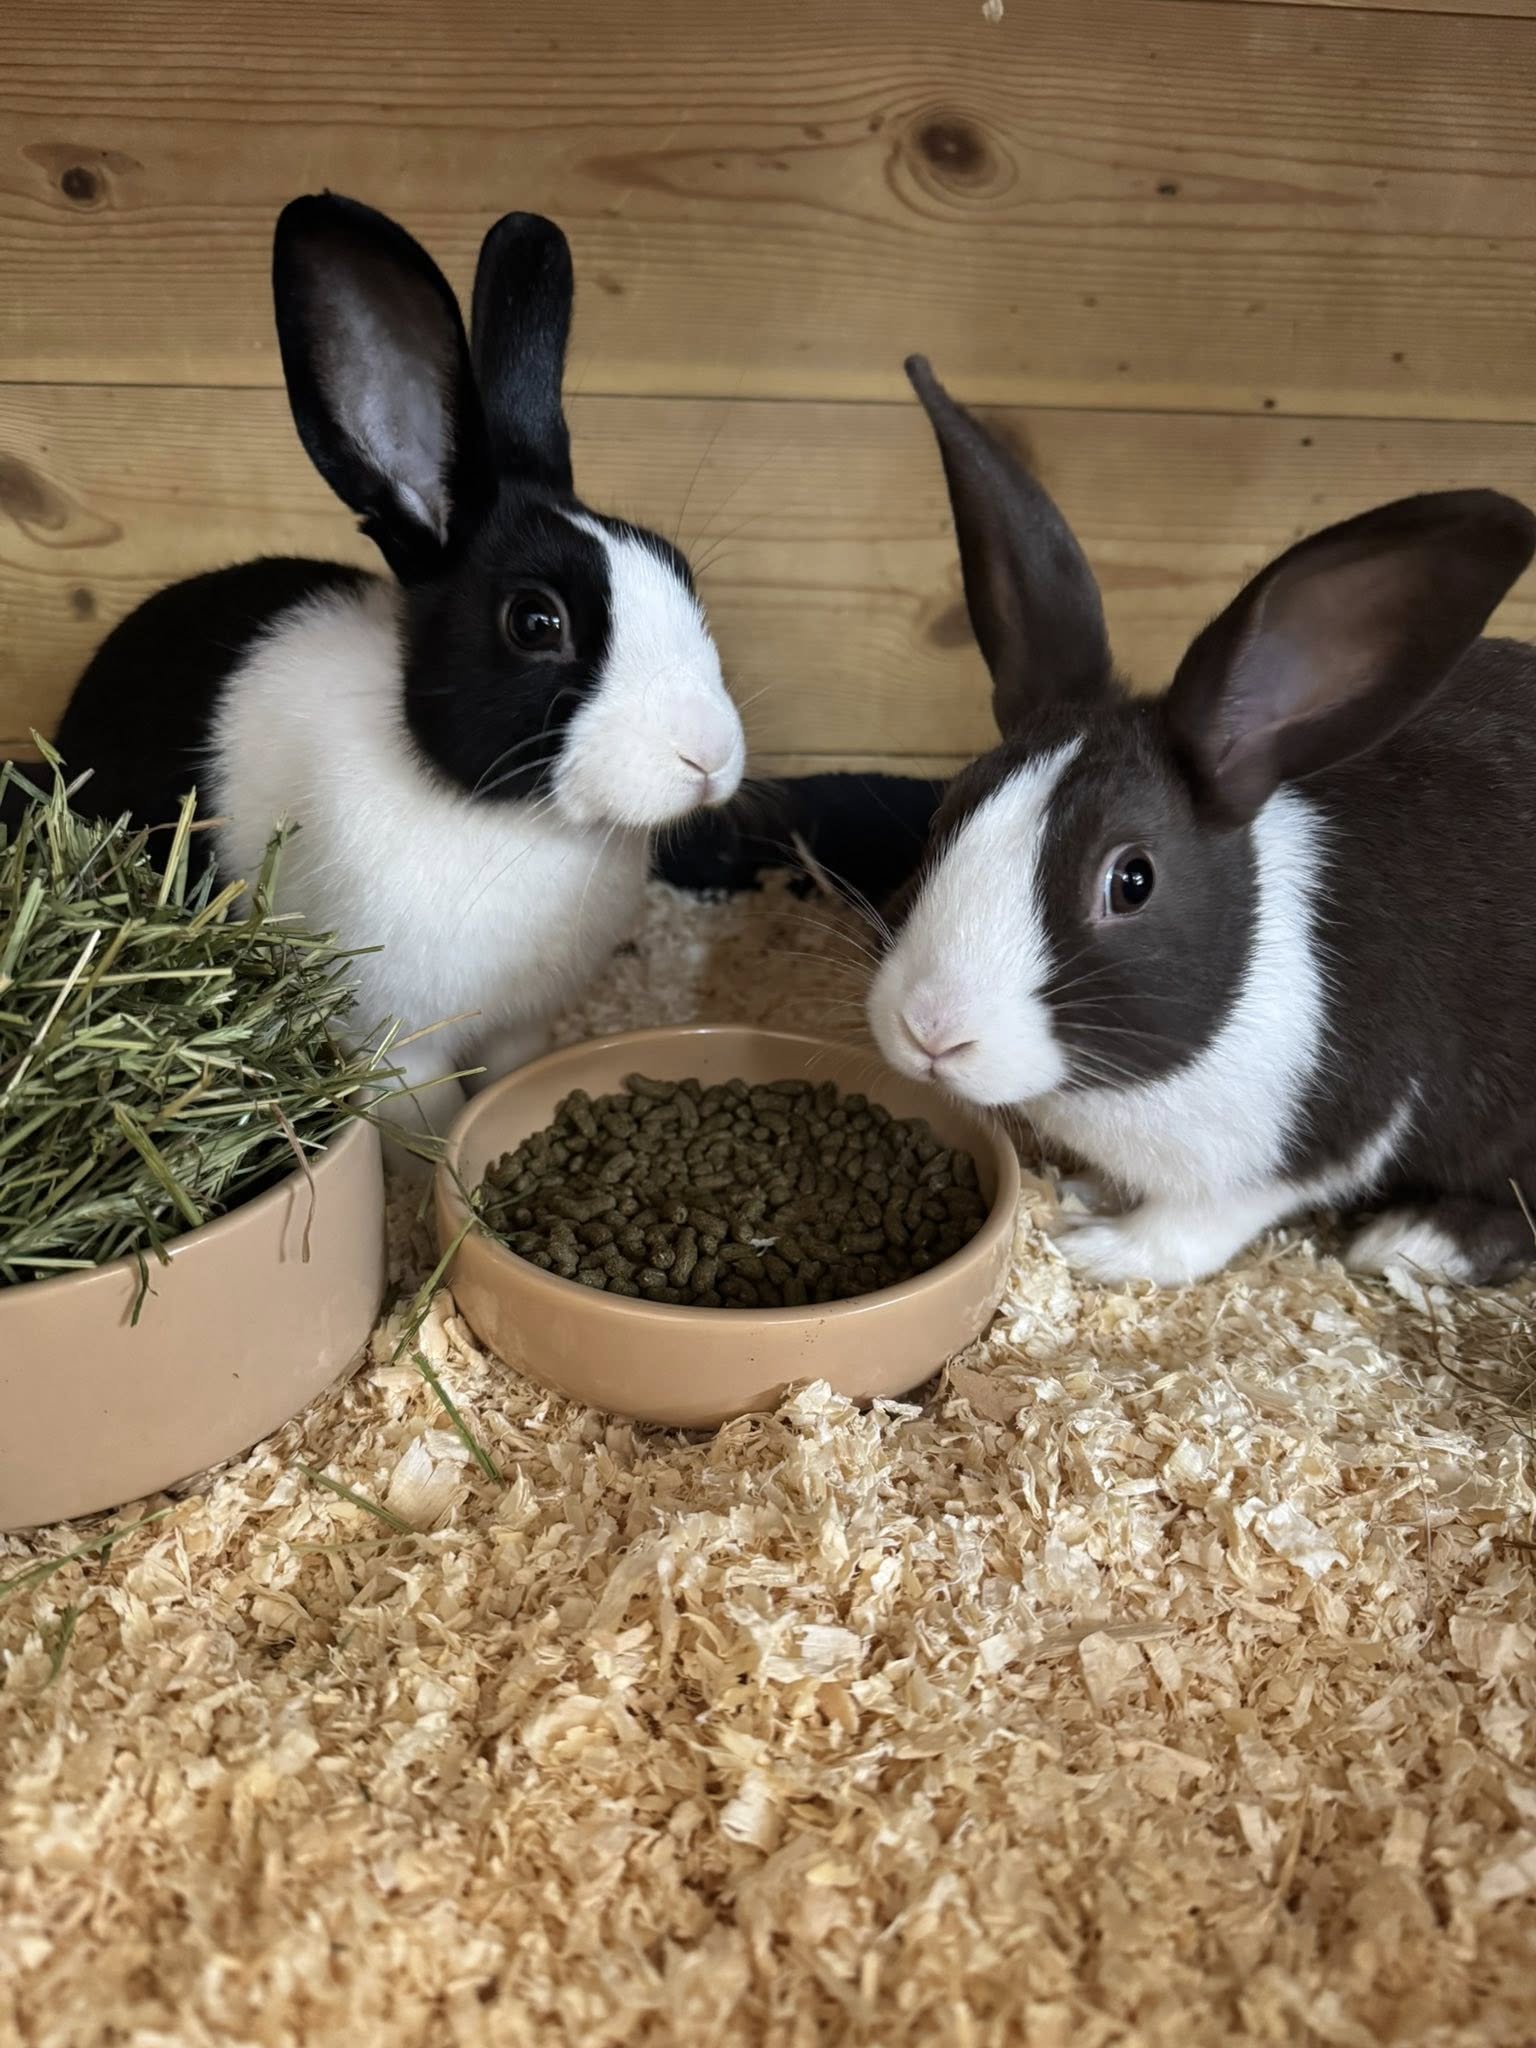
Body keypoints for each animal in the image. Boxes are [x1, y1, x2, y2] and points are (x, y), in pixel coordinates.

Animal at [53, 194, 745, 1149]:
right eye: (536, 621)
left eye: (676, 568)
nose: (708, 756)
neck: (516, 823)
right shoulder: (400, 1048)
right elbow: (427, 1128)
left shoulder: (520, 1028)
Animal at [868, 355, 1536, 1289]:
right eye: (944, 814)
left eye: (1132, 880)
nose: (931, 1030)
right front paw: (1084, 1194)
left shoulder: (1301, 1147)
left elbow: (1195, 1226)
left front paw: (1098, 1246)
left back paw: (1414, 1239)